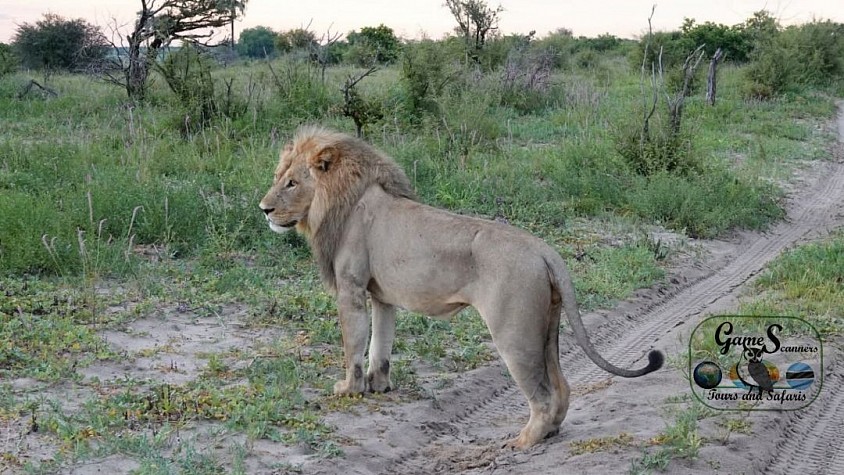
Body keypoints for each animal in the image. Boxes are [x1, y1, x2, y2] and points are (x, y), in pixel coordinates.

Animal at [259, 126, 663, 448]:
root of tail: (544, 249)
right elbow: (381, 345)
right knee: (562, 386)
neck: (339, 201)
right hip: (547, 326)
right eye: (279, 176)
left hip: (514, 332)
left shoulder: (352, 288)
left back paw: (524, 441)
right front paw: (379, 385)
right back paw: (548, 433)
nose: (264, 209)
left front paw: (349, 389)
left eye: (292, 183)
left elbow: (354, 345)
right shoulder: (381, 296)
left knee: (543, 393)